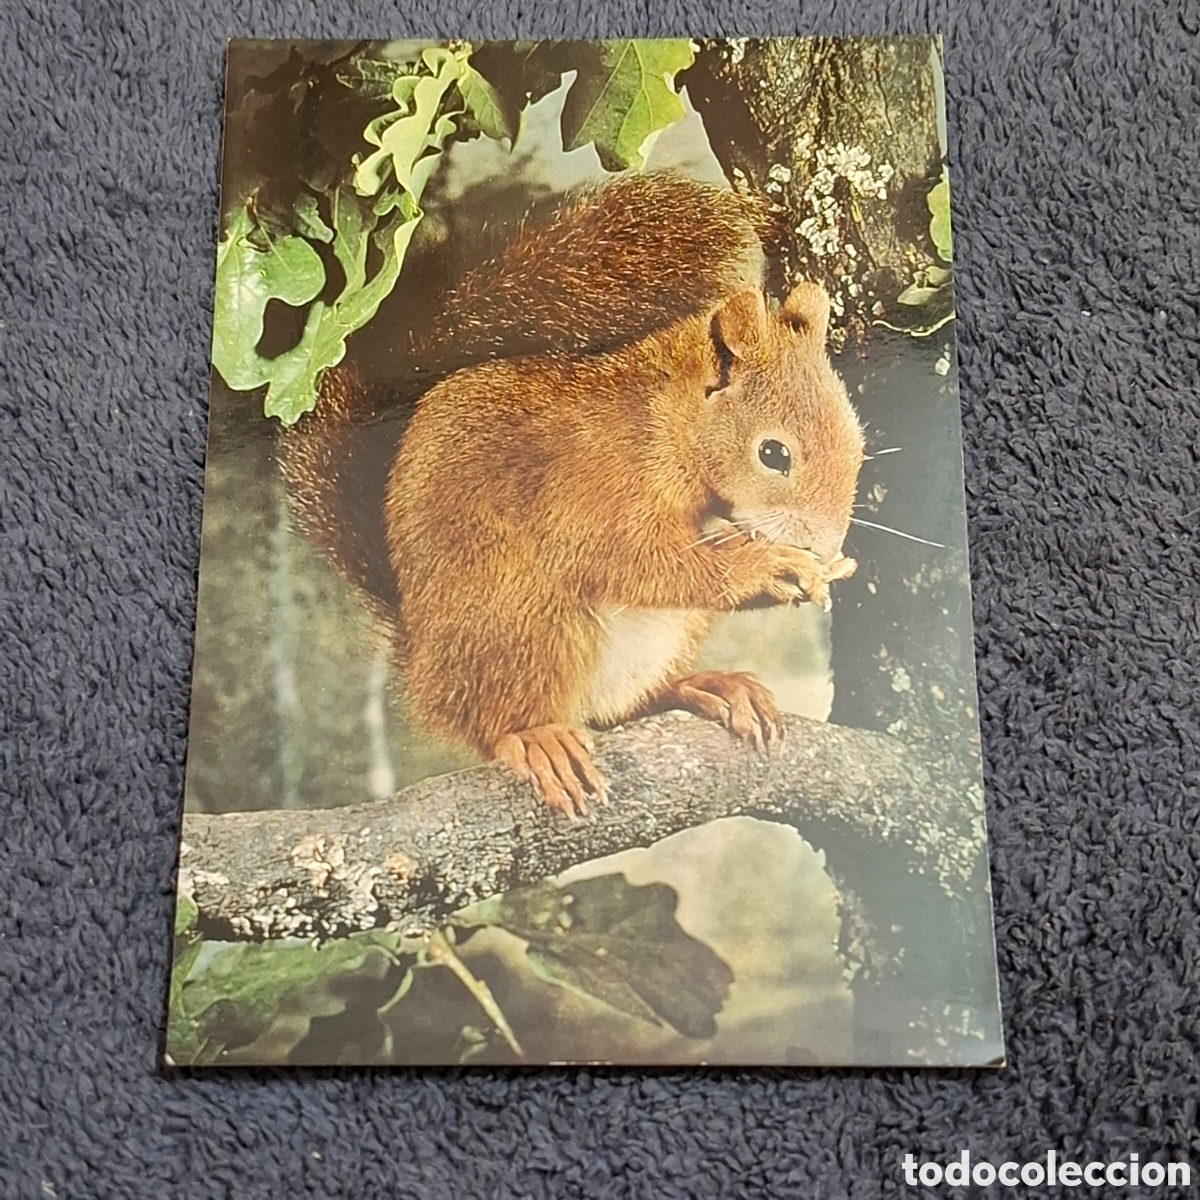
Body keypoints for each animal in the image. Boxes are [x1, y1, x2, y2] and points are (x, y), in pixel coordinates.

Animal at [283, 172, 865, 818]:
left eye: (858, 439)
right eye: (774, 454)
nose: (825, 541)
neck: (665, 421)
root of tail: (424, 663)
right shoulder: (584, 488)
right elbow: (630, 559)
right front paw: (765, 567)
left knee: (624, 706)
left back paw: (704, 686)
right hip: (523, 621)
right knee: (495, 724)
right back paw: (535, 739)